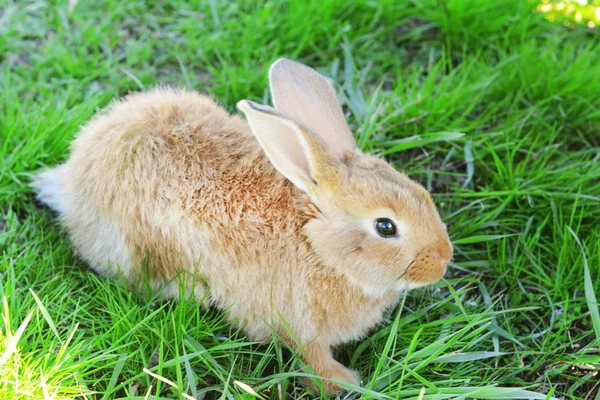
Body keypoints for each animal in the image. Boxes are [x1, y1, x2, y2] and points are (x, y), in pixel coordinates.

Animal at [32, 58, 452, 394]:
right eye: (385, 227)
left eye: (422, 194)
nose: (443, 261)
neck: (317, 246)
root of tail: (72, 178)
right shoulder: (292, 322)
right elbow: (310, 357)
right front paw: (343, 382)